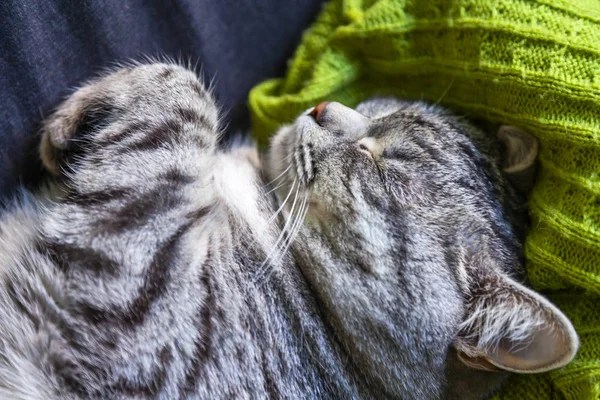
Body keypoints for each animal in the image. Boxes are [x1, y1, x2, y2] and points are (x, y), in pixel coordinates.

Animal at [0, 63, 576, 400]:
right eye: (383, 110)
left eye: (378, 166)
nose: (321, 107)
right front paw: (83, 113)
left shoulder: (135, 319)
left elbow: (186, 92)